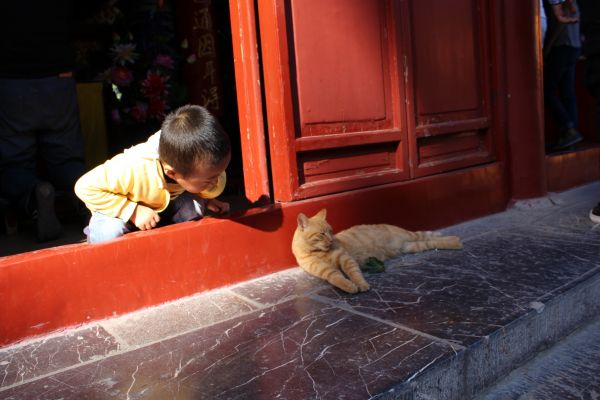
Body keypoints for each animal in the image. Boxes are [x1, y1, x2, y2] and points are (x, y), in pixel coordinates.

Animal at [290, 209, 464, 294]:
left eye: (331, 231)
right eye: (321, 234)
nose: (332, 240)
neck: (317, 252)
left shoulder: (346, 259)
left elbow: (355, 274)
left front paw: (361, 284)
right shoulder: (324, 270)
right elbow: (337, 278)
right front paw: (349, 286)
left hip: (410, 237)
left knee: (429, 237)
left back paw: (455, 240)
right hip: (410, 246)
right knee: (429, 242)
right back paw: (455, 241)